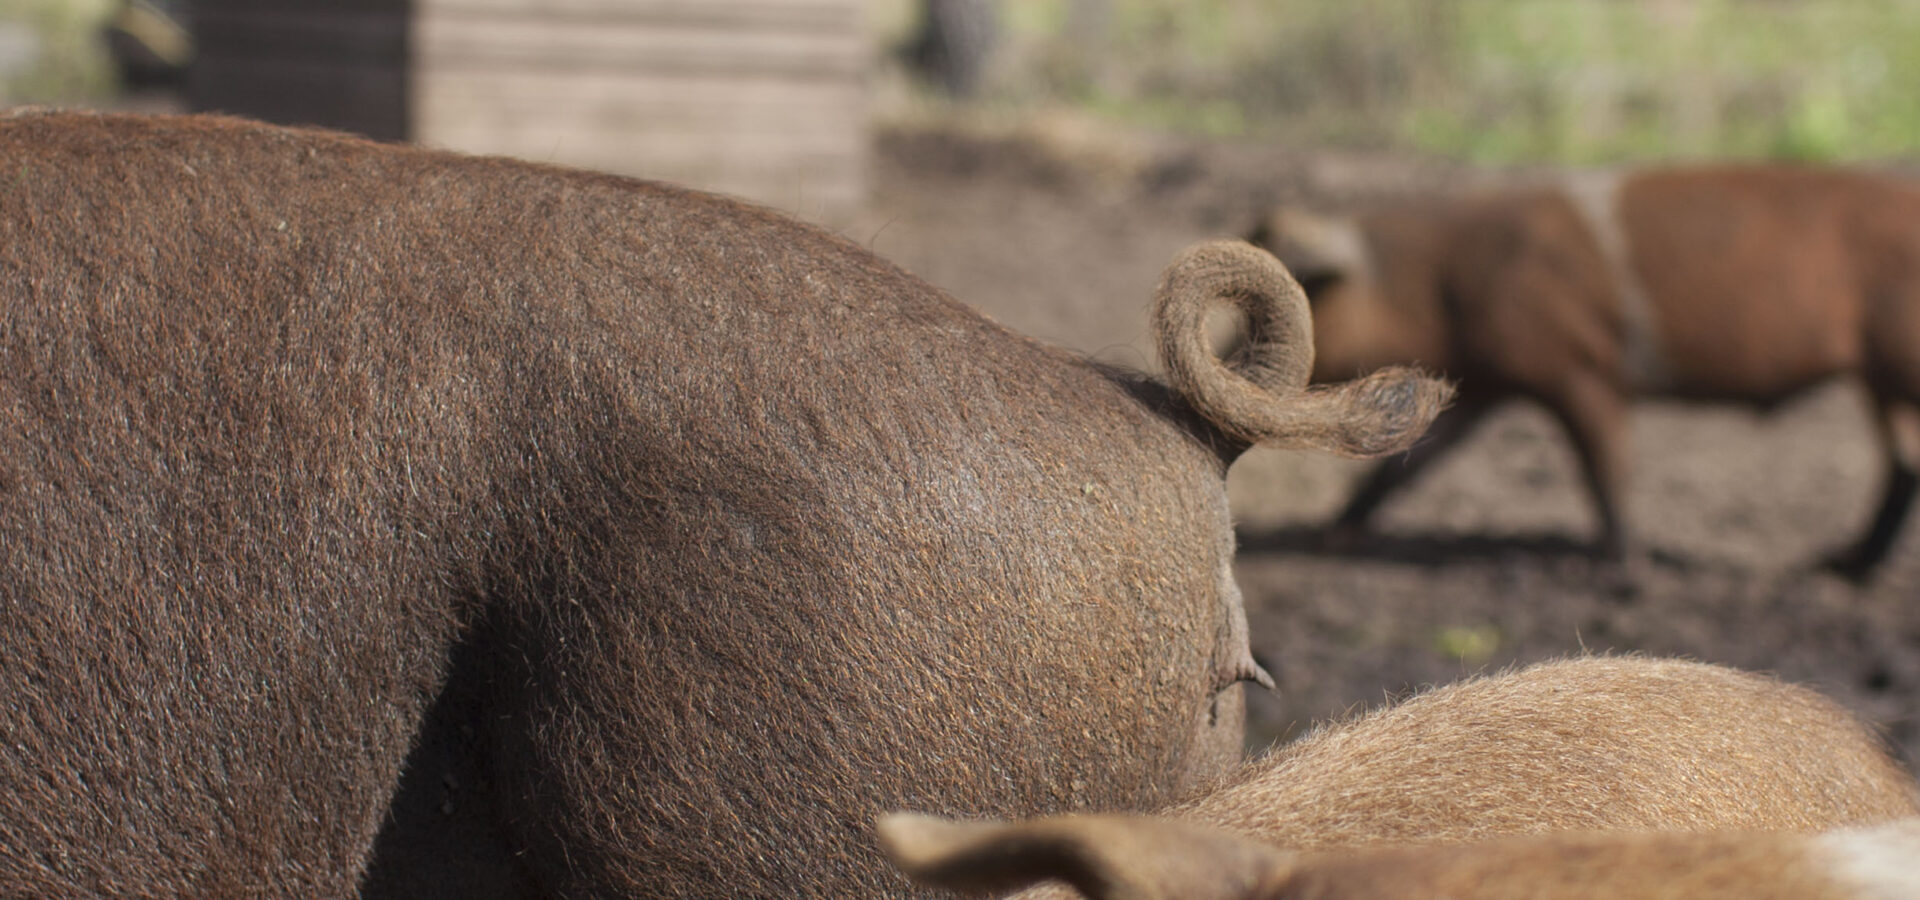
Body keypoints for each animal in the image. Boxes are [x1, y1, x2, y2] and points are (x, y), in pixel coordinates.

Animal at [1244, 166, 1920, 575]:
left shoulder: (1580, 370)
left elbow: (1604, 466)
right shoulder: (1487, 383)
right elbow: (1411, 464)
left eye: (1308, 297)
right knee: (1902, 465)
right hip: (1877, 376)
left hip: (1894, 361)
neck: (1442, 288)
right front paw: (1329, 539)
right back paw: (1839, 568)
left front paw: (1627, 570)